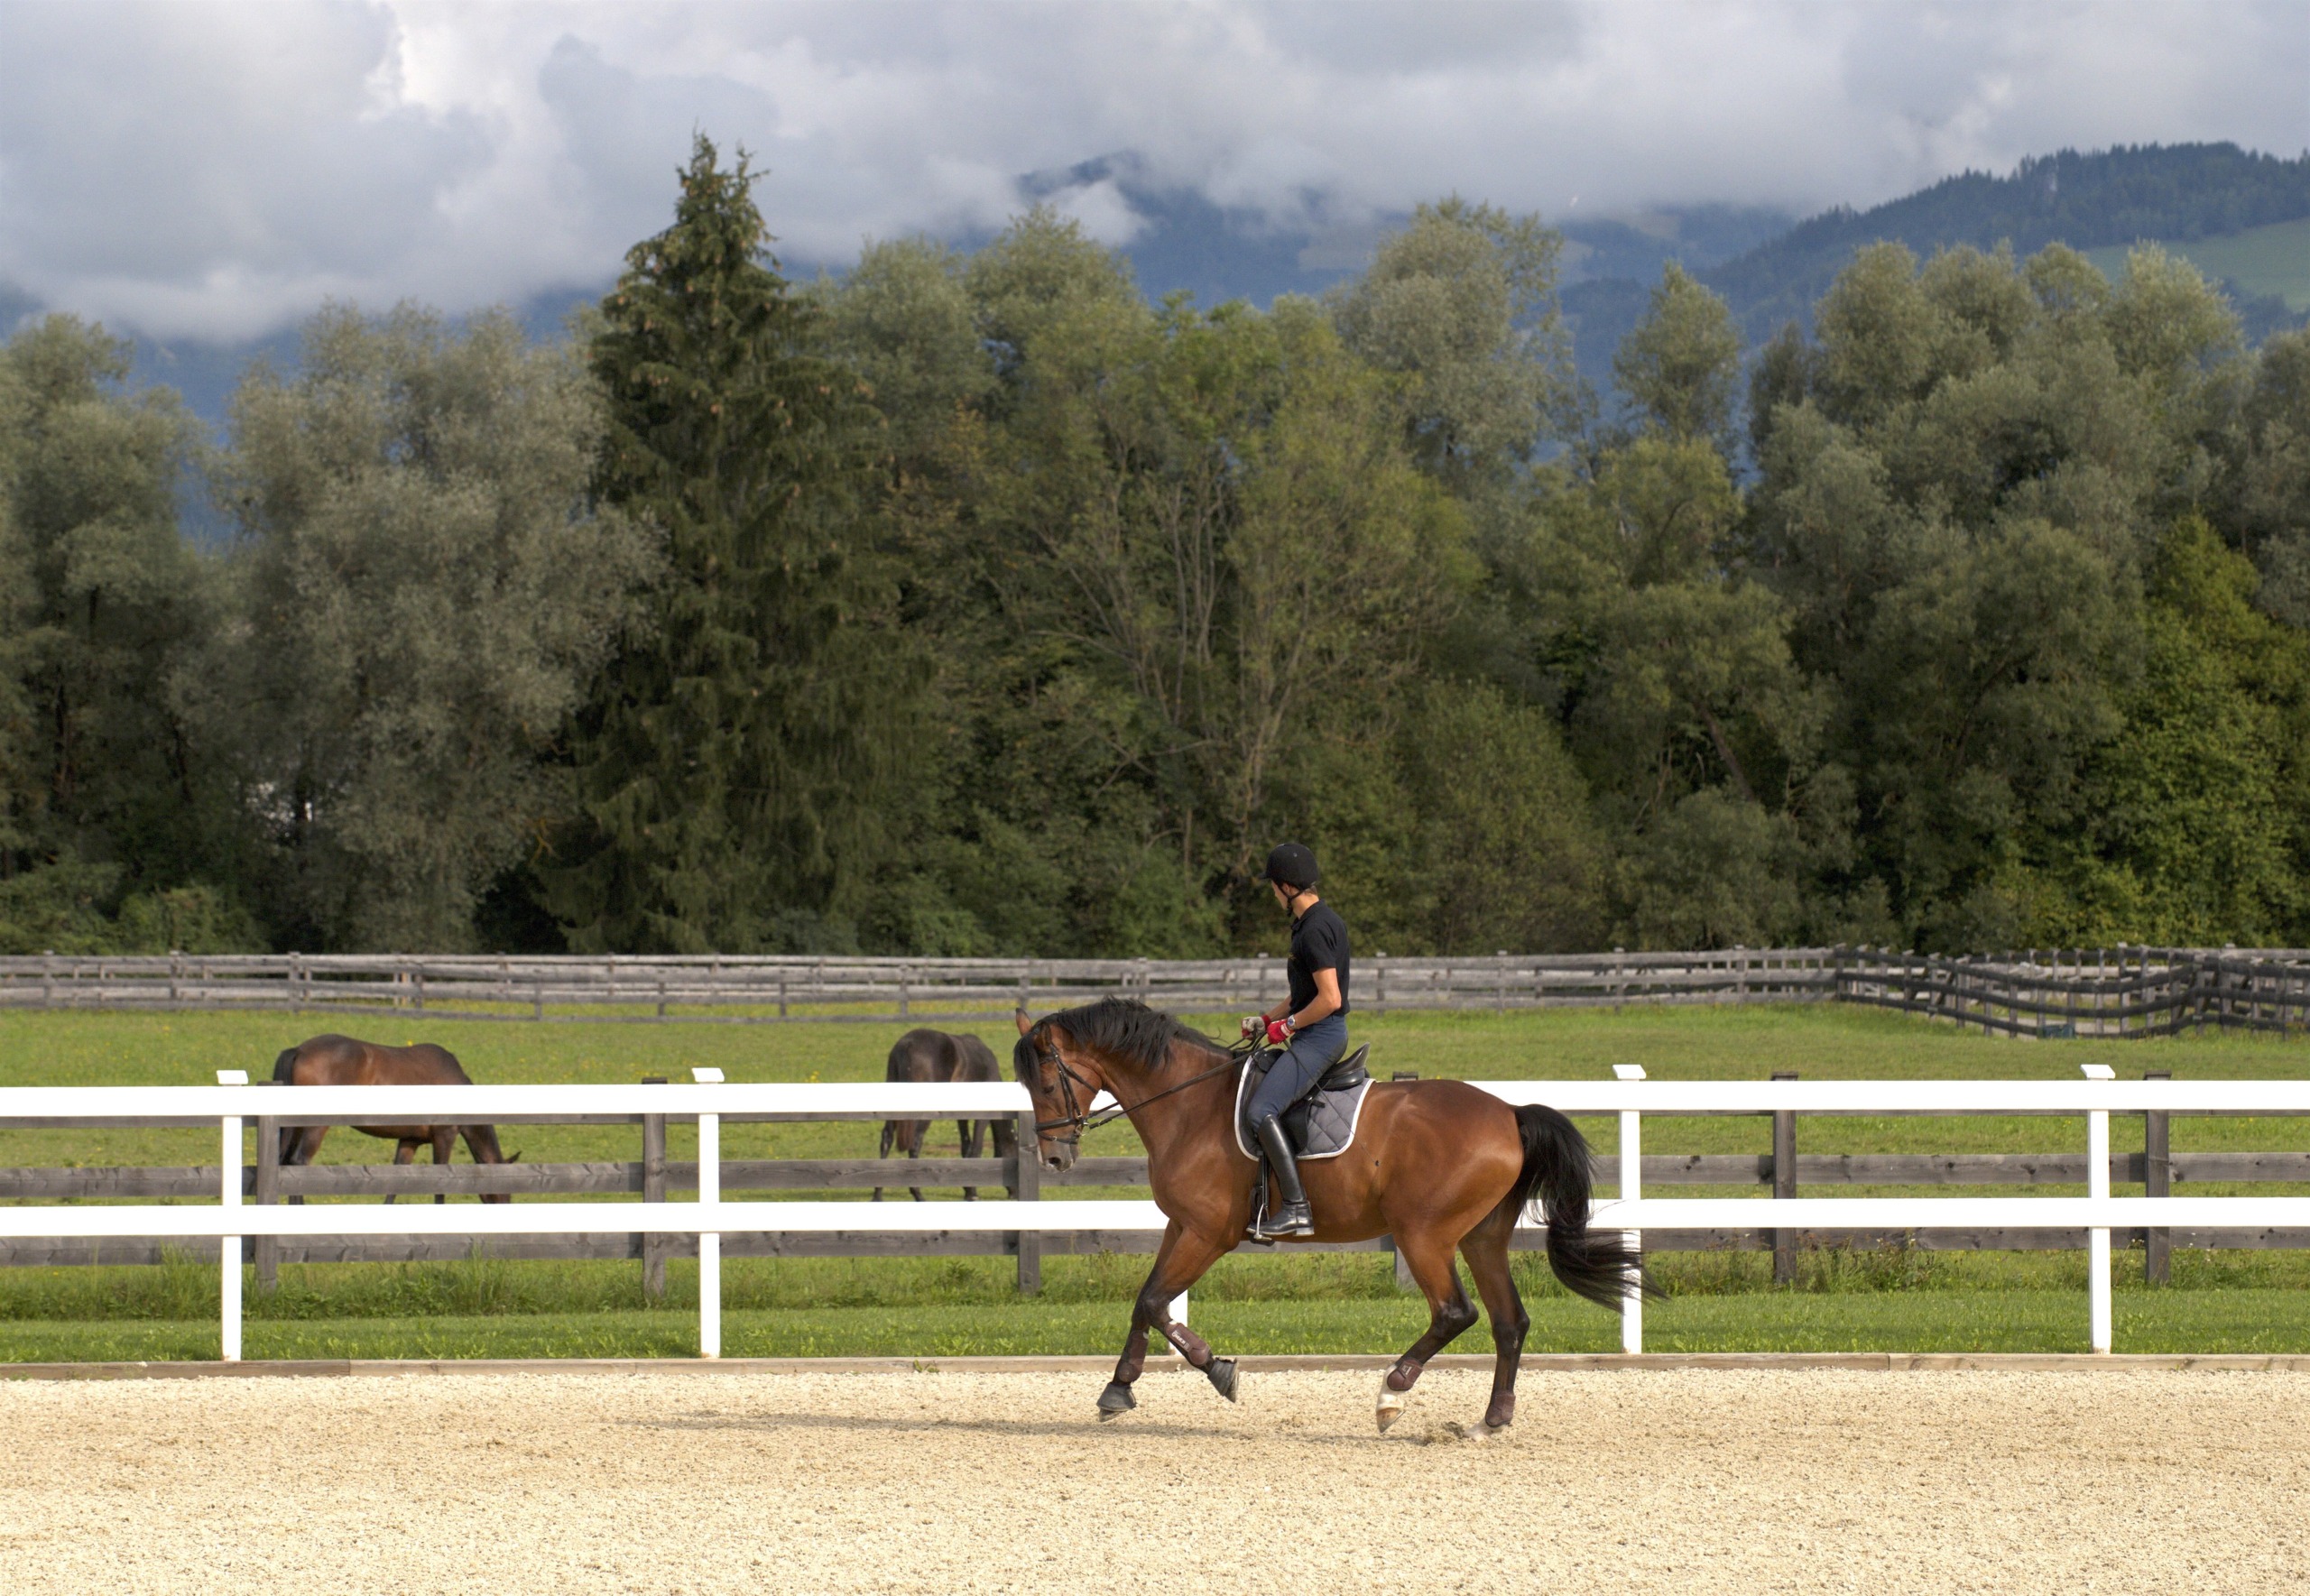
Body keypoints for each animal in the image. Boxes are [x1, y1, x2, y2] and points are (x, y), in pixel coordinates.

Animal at [270, 1044, 520, 1201]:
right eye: (505, 1189)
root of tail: (300, 1050)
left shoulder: (409, 1141)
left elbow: (394, 1185)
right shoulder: (445, 1137)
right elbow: (440, 1187)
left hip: (296, 1128)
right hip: (314, 1126)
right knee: (298, 1162)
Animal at [873, 1029, 1021, 1201]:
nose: (1014, 1193)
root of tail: (908, 1044)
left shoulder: (962, 1116)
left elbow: (966, 1147)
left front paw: (967, 1189)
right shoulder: (982, 1116)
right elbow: (976, 1149)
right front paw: (972, 1193)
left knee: (887, 1139)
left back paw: (877, 1195)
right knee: (915, 1142)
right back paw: (918, 1194)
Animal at [1012, 997, 1644, 1432]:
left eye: (1045, 1081)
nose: (1054, 1157)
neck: (1188, 1103)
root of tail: (1510, 1112)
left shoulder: (1208, 1234)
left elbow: (1151, 1300)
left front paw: (1212, 1372)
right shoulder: (1181, 1226)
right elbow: (1149, 1301)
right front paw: (1126, 1386)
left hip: (1424, 1234)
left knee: (1455, 1312)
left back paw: (1392, 1392)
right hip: (1481, 1239)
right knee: (1509, 1321)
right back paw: (1491, 1420)